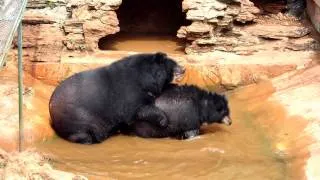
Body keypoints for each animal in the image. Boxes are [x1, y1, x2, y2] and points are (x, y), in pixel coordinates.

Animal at [49, 51, 185, 143]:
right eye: (174, 65)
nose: (184, 69)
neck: (147, 76)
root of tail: (50, 106)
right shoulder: (132, 92)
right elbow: (139, 109)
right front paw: (164, 121)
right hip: (78, 118)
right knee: (83, 134)